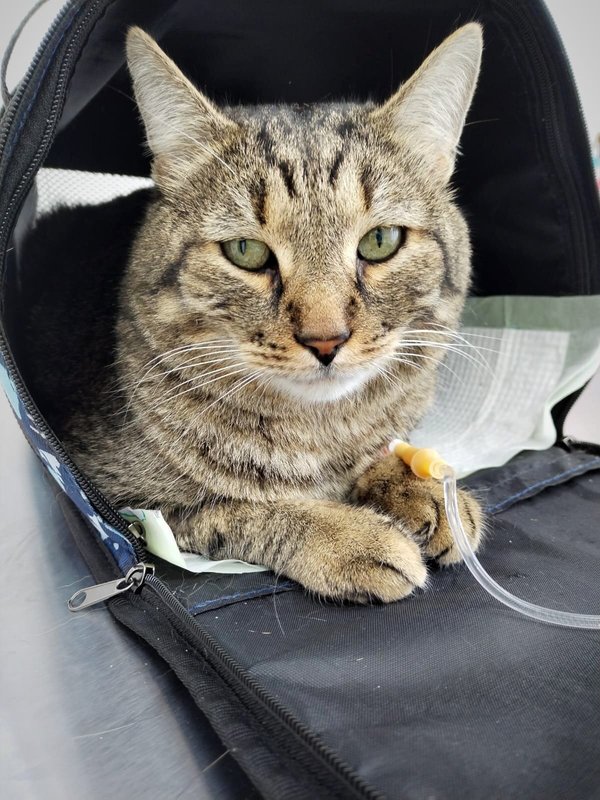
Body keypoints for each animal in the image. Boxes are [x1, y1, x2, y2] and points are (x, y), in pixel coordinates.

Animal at [34, 23, 485, 603]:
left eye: (381, 241)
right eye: (246, 251)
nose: (325, 339)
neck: (319, 433)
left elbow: (379, 450)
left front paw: (419, 485)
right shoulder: (129, 507)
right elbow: (246, 508)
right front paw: (352, 535)